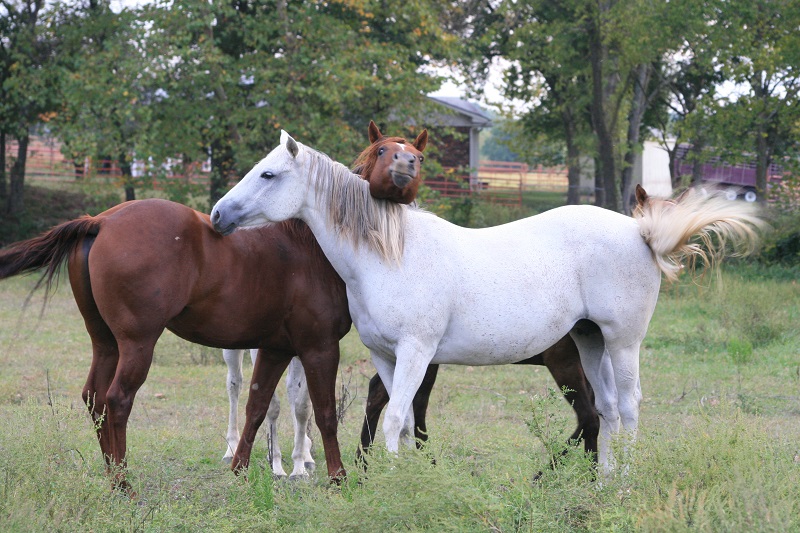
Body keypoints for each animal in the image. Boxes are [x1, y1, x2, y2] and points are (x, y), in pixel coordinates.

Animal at [210, 131, 762, 475]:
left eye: (268, 175)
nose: (217, 214)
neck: (390, 255)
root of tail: (639, 231)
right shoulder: (387, 356)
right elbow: (402, 420)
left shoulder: (416, 352)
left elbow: (392, 419)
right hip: (588, 342)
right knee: (603, 411)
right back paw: (602, 484)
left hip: (623, 343)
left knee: (626, 410)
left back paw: (622, 485)